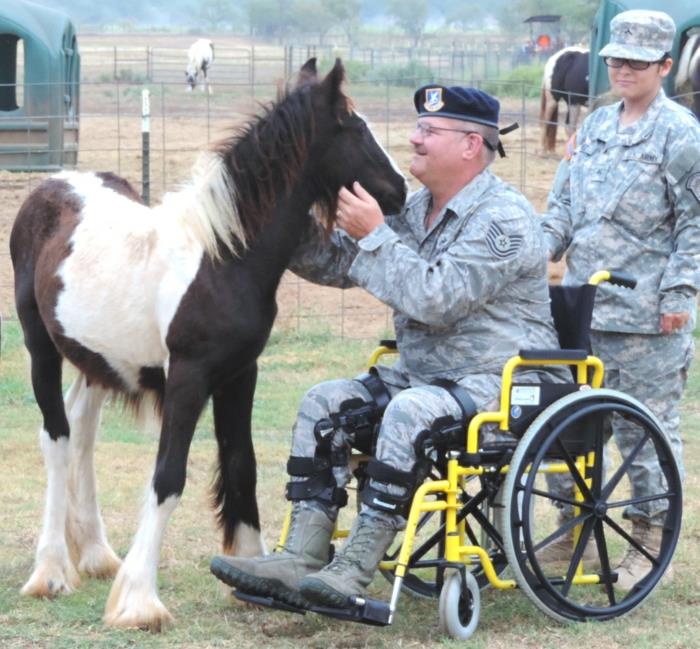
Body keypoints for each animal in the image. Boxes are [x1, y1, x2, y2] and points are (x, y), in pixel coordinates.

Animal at [9, 58, 404, 632]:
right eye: (353, 128)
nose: (400, 191)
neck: (223, 258)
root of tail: (53, 184)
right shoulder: (189, 378)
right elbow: (168, 476)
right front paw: (139, 600)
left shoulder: (241, 374)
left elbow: (242, 464)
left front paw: (249, 571)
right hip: (42, 348)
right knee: (57, 439)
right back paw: (52, 571)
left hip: (99, 362)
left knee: (82, 433)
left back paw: (97, 554)